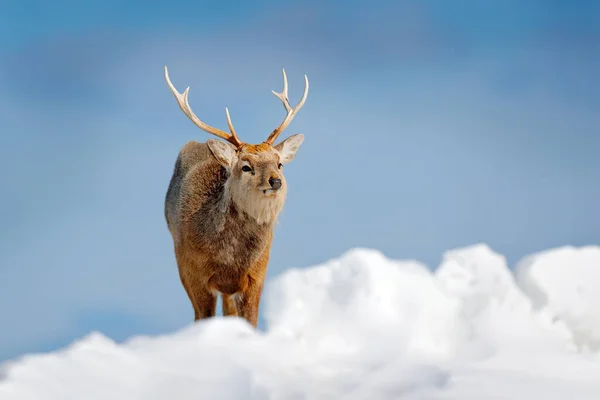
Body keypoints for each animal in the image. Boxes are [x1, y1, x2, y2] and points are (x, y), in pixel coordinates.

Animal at [162, 66, 308, 328]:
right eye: (246, 167)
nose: (275, 181)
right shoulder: (192, 272)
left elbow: (250, 322)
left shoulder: (257, 274)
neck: (230, 257)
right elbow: (203, 318)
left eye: (279, 163)